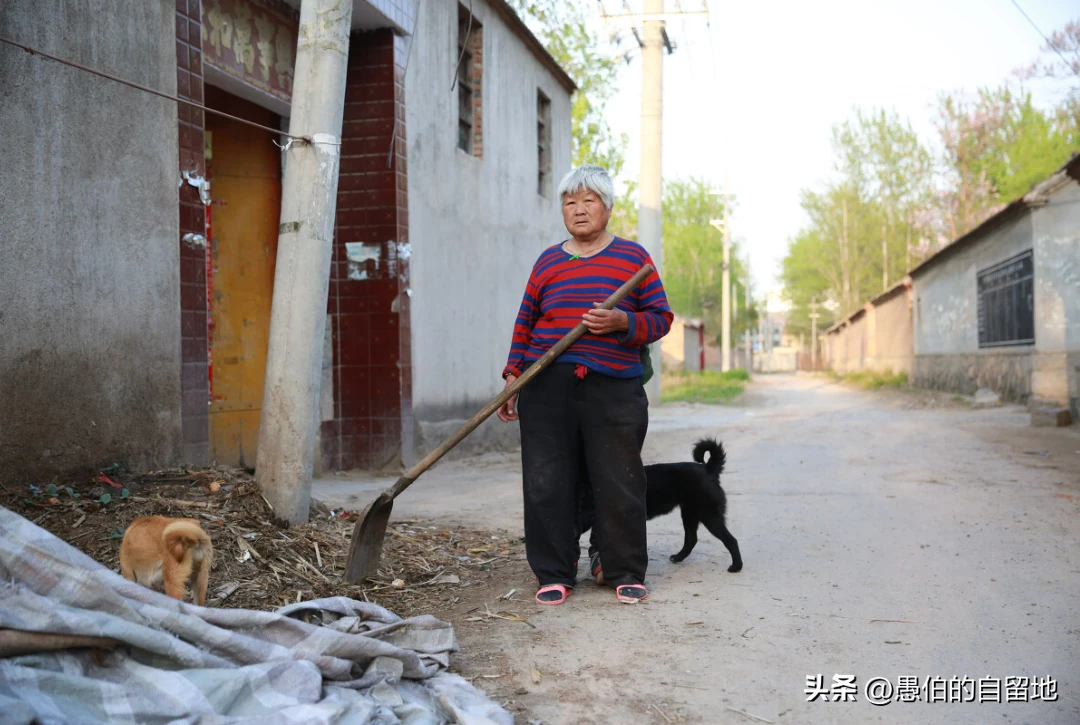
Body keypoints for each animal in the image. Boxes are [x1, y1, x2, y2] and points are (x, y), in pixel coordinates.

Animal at [583, 438, 743, 574]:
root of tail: (708, 469)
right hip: (689, 514)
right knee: (691, 539)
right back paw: (678, 557)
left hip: (709, 515)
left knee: (731, 540)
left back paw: (736, 566)